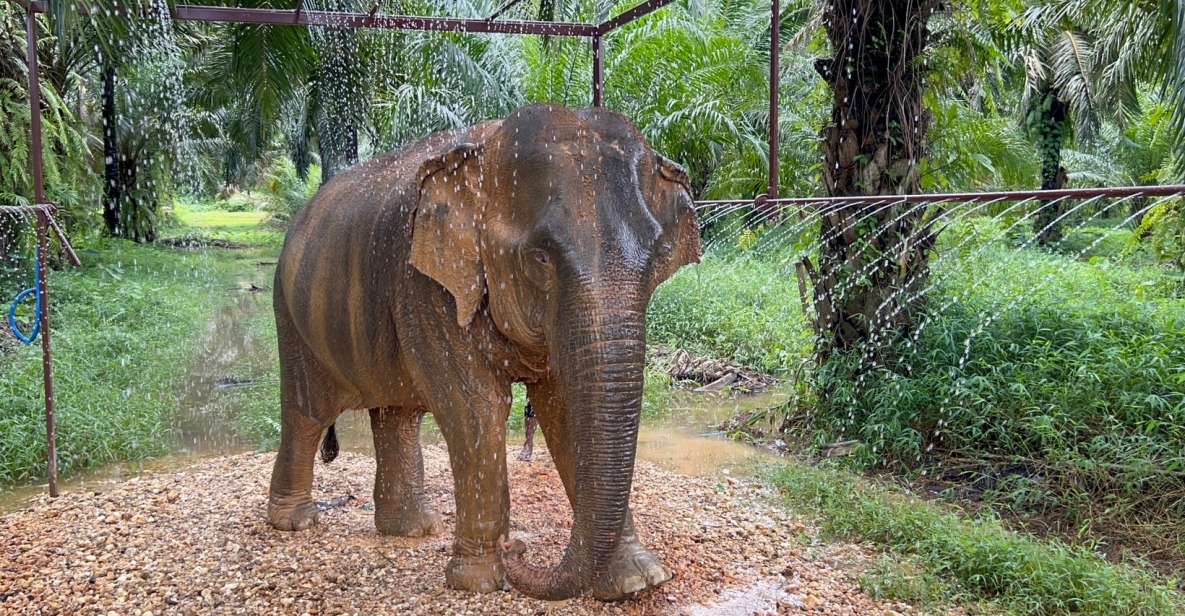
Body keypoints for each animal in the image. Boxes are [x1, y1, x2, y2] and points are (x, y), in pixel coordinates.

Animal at [268, 106, 701, 601]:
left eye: (657, 255)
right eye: (540, 257)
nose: (518, 548)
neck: (485, 150)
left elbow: (566, 410)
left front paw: (638, 581)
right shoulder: (427, 284)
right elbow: (477, 407)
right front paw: (477, 583)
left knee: (397, 415)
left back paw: (412, 530)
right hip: (290, 313)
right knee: (307, 412)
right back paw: (295, 522)